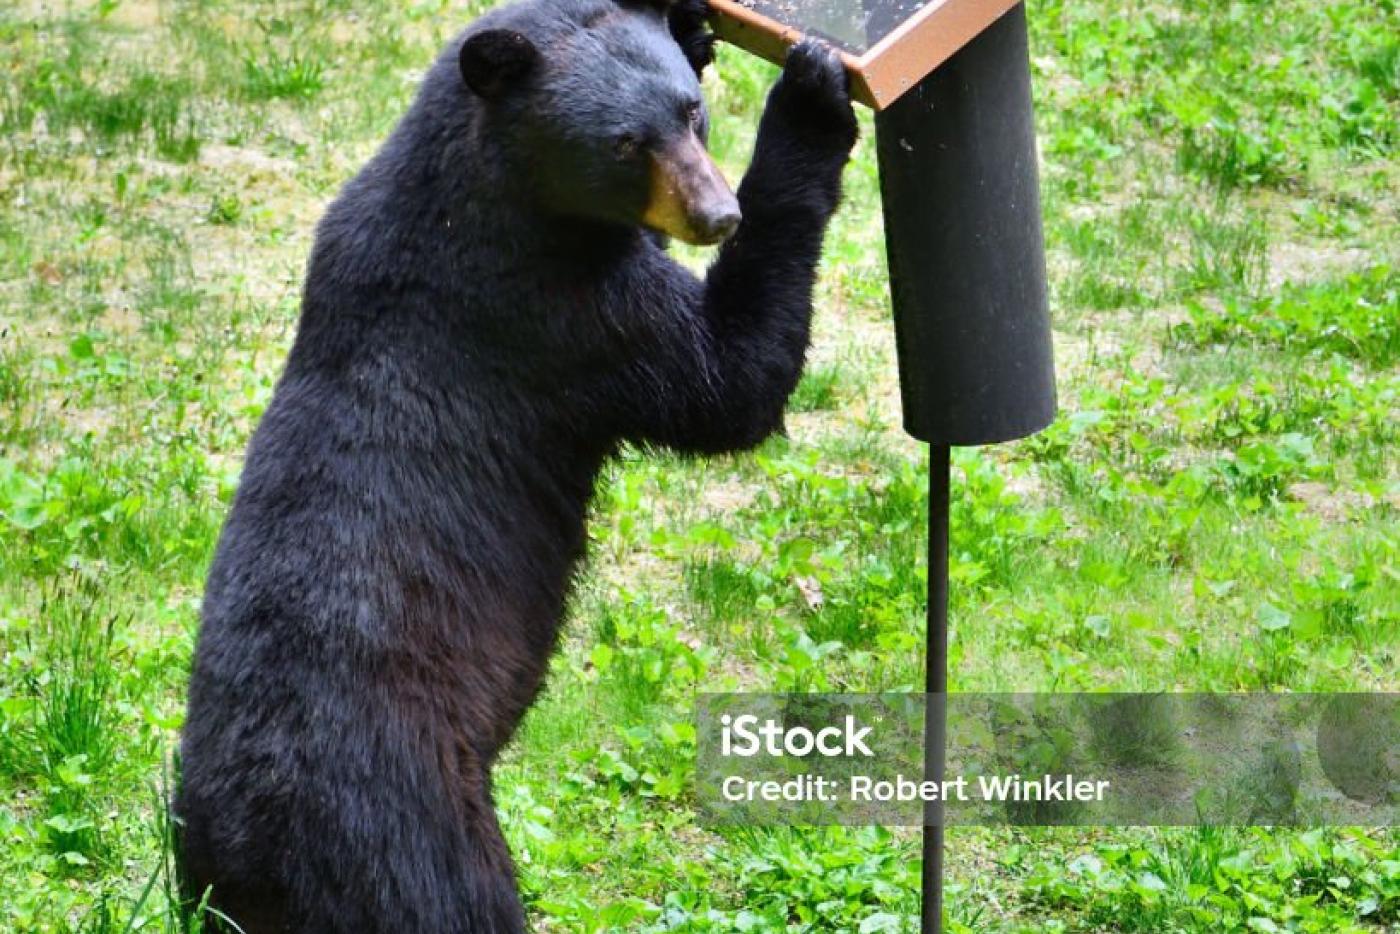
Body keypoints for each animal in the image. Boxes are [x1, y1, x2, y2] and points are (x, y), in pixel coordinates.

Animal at [175, 0, 857, 929]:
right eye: (624, 143)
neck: (482, 195)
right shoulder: (557, 315)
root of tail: (235, 859)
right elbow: (726, 381)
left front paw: (697, 27)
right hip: (408, 827)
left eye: (689, 113)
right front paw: (813, 98)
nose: (719, 215)